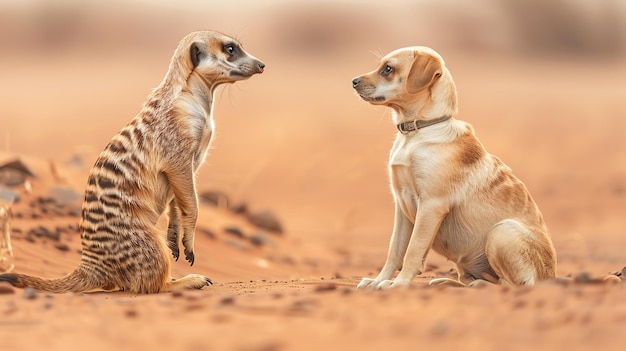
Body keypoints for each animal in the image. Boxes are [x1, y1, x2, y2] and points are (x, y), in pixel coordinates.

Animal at [352, 46, 556, 288]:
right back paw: (446, 282)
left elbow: (412, 250)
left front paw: (399, 285)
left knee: (510, 285)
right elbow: (395, 250)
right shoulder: (401, 204)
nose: (354, 81)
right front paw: (378, 281)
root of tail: (551, 277)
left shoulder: (431, 205)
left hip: (501, 231)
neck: (416, 132)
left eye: (388, 69)